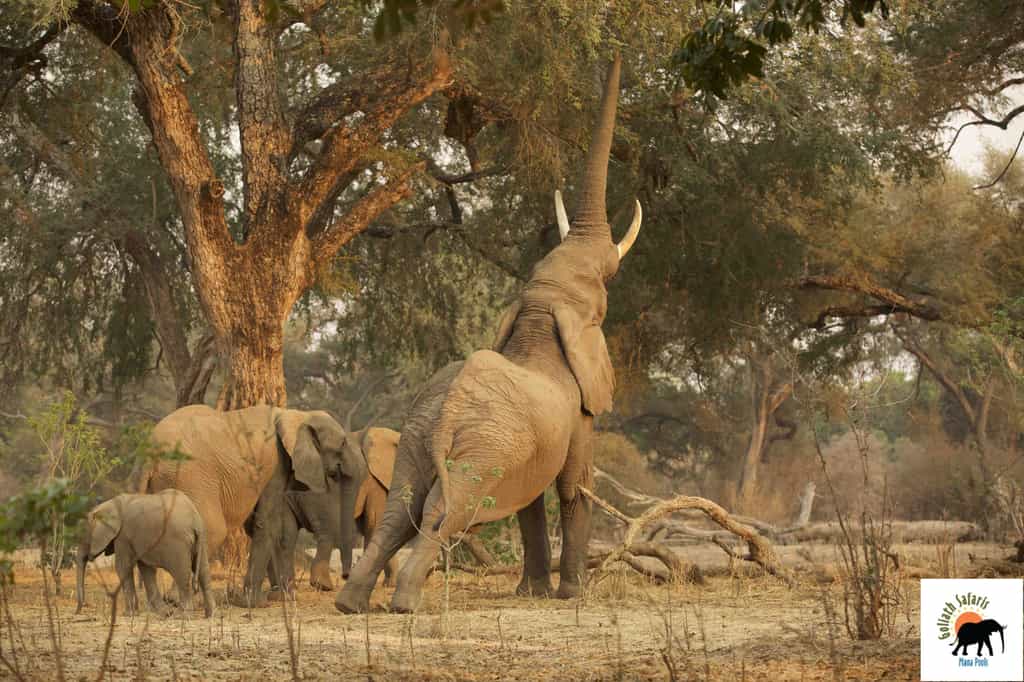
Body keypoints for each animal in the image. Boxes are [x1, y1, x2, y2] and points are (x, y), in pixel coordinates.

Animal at [75, 489, 214, 617]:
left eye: (84, 535)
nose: (78, 611)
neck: (108, 505)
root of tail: (195, 520)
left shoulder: (123, 536)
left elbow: (122, 567)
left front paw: (129, 614)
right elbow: (146, 569)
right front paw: (164, 613)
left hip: (179, 543)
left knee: (182, 575)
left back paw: (182, 615)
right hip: (201, 540)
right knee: (203, 571)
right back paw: (209, 614)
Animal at [136, 405, 367, 607]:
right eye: (342, 444)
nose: (343, 577)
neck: (296, 415)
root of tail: (148, 456)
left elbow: (273, 527)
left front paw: (282, 599)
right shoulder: (275, 466)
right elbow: (268, 524)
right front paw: (256, 604)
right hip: (190, 476)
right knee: (212, 530)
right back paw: (178, 600)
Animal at [269, 426, 402, 592]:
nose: (346, 576)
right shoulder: (374, 483)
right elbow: (375, 526)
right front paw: (390, 584)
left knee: (286, 536)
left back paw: (287, 588)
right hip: (316, 494)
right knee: (326, 530)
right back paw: (323, 585)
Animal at [337, 53, 641, 614]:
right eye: (602, 294)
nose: (615, 55)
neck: (542, 312)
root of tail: (447, 415)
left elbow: (531, 498)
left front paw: (534, 593)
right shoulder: (578, 412)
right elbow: (573, 486)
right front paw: (570, 596)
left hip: (422, 436)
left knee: (402, 509)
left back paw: (351, 604)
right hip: (482, 449)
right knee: (445, 510)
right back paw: (406, 603)